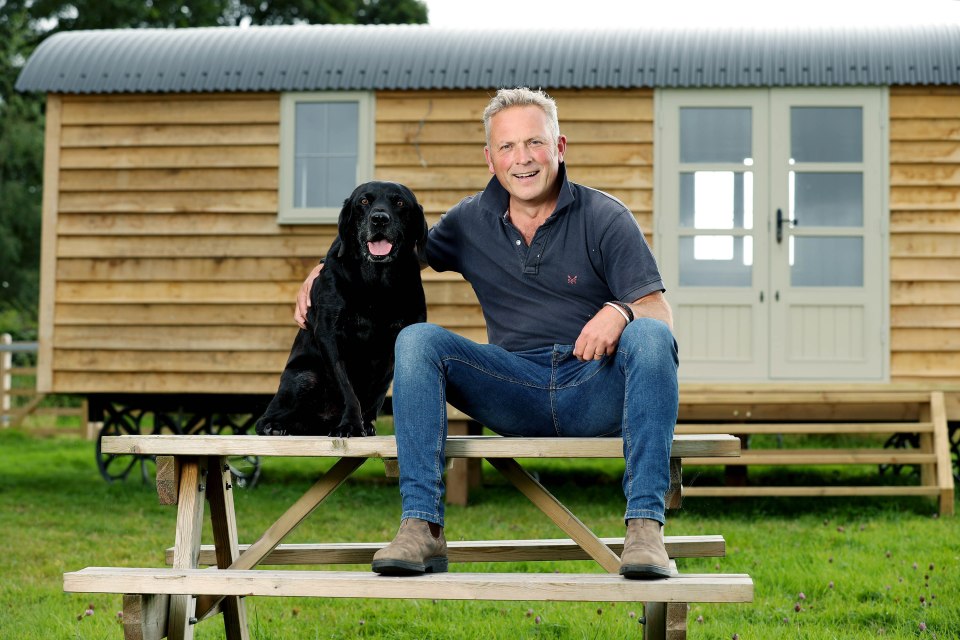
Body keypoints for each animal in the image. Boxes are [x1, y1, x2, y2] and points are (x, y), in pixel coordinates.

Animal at [258, 182, 432, 438]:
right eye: (364, 202)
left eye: (400, 202)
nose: (379, 219)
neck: (376, 282)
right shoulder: (329, 334)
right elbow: (347, 387)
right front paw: (350, 424)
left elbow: (376, 392)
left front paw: (364, 424)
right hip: (304, 377)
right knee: (266, 417)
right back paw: (275, 426)